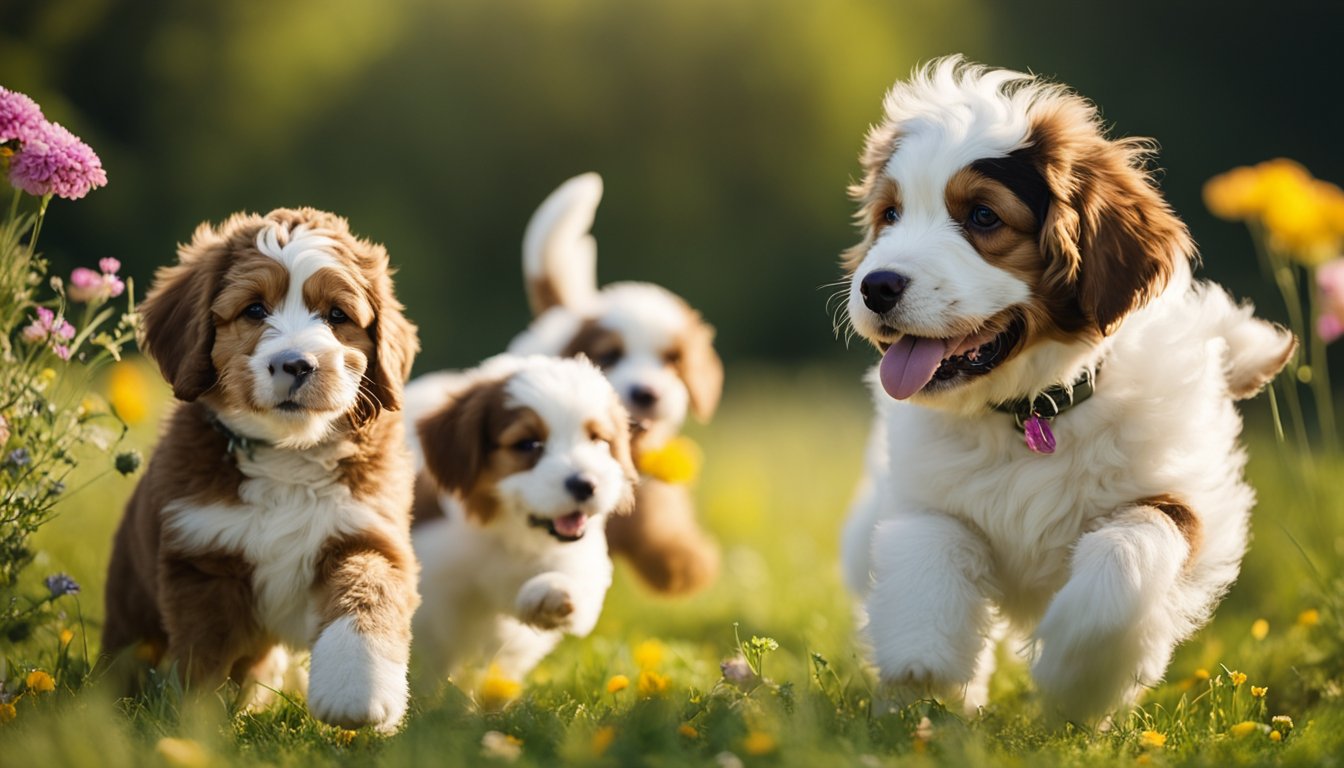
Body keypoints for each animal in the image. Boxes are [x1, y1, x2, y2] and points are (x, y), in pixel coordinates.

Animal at [102, 208, 419, 731]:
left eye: (337, 316)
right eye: (254, 310)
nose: (298, 364)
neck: (288, 452)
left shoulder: (367, 531)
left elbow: (366, 596)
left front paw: (356, 693)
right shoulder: (203, 559)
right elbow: (205, 658)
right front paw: (196, 725)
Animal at [403, 357, 639, 688]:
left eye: (597, 441)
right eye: (528, 444)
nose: (586, 485)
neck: (510, 535)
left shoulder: (578, 558)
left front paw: (553, 593)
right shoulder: (436, 586)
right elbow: (433, 651)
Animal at [505, 174, 725, 594]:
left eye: (673, 360)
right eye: (610, 356)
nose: (647, 392)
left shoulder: (653, 481)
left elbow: (659, 522)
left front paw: (682, 563)